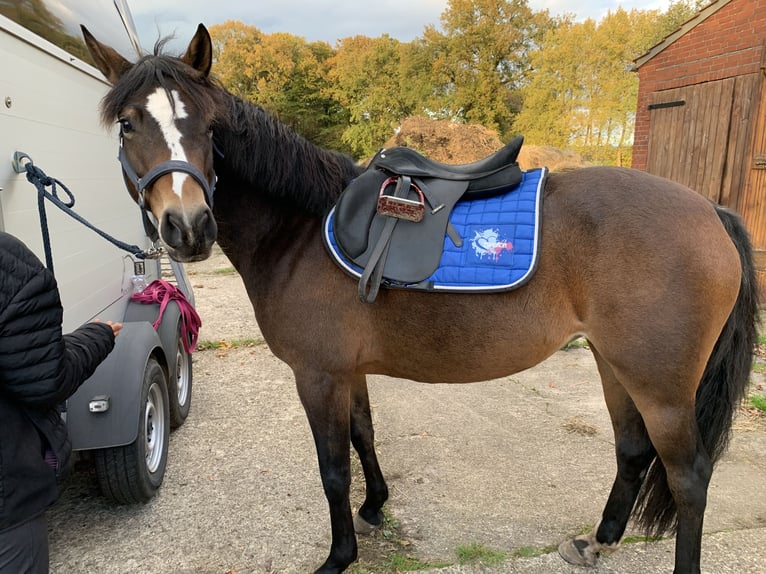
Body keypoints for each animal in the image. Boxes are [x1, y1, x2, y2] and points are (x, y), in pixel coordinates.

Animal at [82, 23, 760, 574]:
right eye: (128, 123)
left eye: (209, 126)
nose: (188, 227)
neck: (300, 227)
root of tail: (710, 209)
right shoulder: (345, 371)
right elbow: (364, 437)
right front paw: (376, 505)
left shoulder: (317, 375)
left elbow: (333, 468)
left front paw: (339, 556)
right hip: (613, 362)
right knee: (632, 450)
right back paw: (598, 540)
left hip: (661, 385)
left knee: (689, 477)